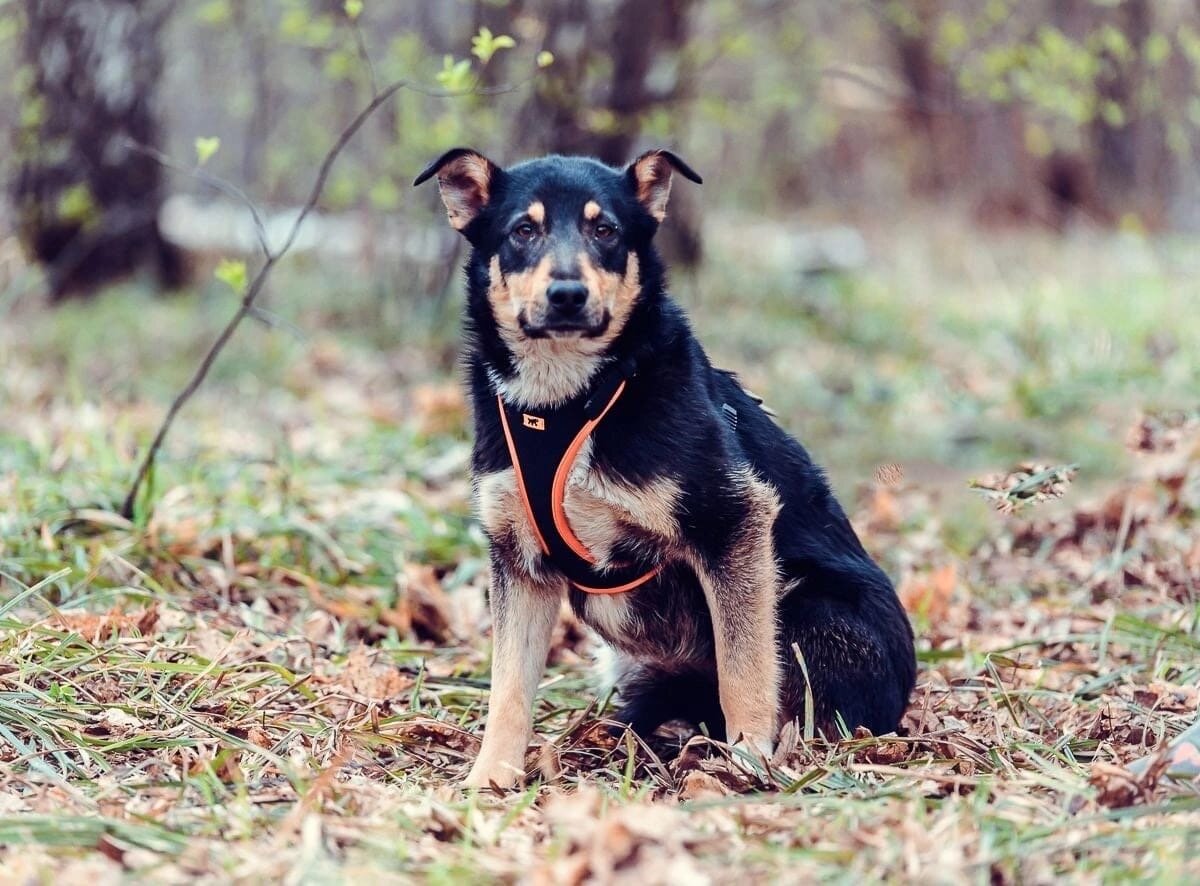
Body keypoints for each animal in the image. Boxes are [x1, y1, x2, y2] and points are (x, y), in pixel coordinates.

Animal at [415, 146, 916, 787]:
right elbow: (509, 690)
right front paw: (490, 777)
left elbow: (744, 669)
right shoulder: (518, 559)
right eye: (523, 231)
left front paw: (747, 759)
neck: (567, 402)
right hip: (628, 664)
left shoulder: (734, 524)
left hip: (808, 607)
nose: (567, 294)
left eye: (605, 231)